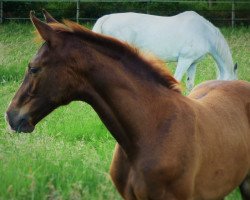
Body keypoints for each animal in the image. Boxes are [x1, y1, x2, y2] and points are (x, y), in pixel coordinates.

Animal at [93, 10, 237, 90]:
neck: (204, 33)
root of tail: (107, 17)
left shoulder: (193, 63)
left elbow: (190, 84)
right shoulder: (184, 60)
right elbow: (176, 80)